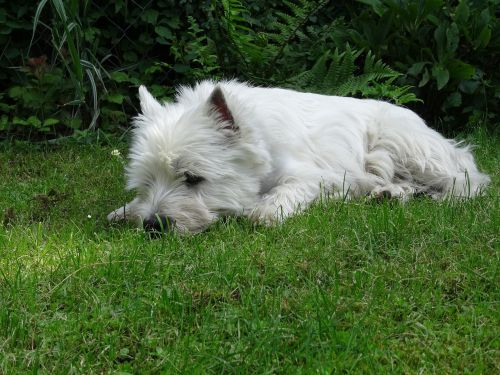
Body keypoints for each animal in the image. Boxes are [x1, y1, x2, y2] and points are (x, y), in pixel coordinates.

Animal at [107, 79, 490, 234]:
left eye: (193, 178)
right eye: (145, 184)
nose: (153, 225)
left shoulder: (317, 175)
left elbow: (278, 199)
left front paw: (264, 210)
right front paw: (125, 211)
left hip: (400, 143)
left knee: (467, 175)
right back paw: (387, 194)